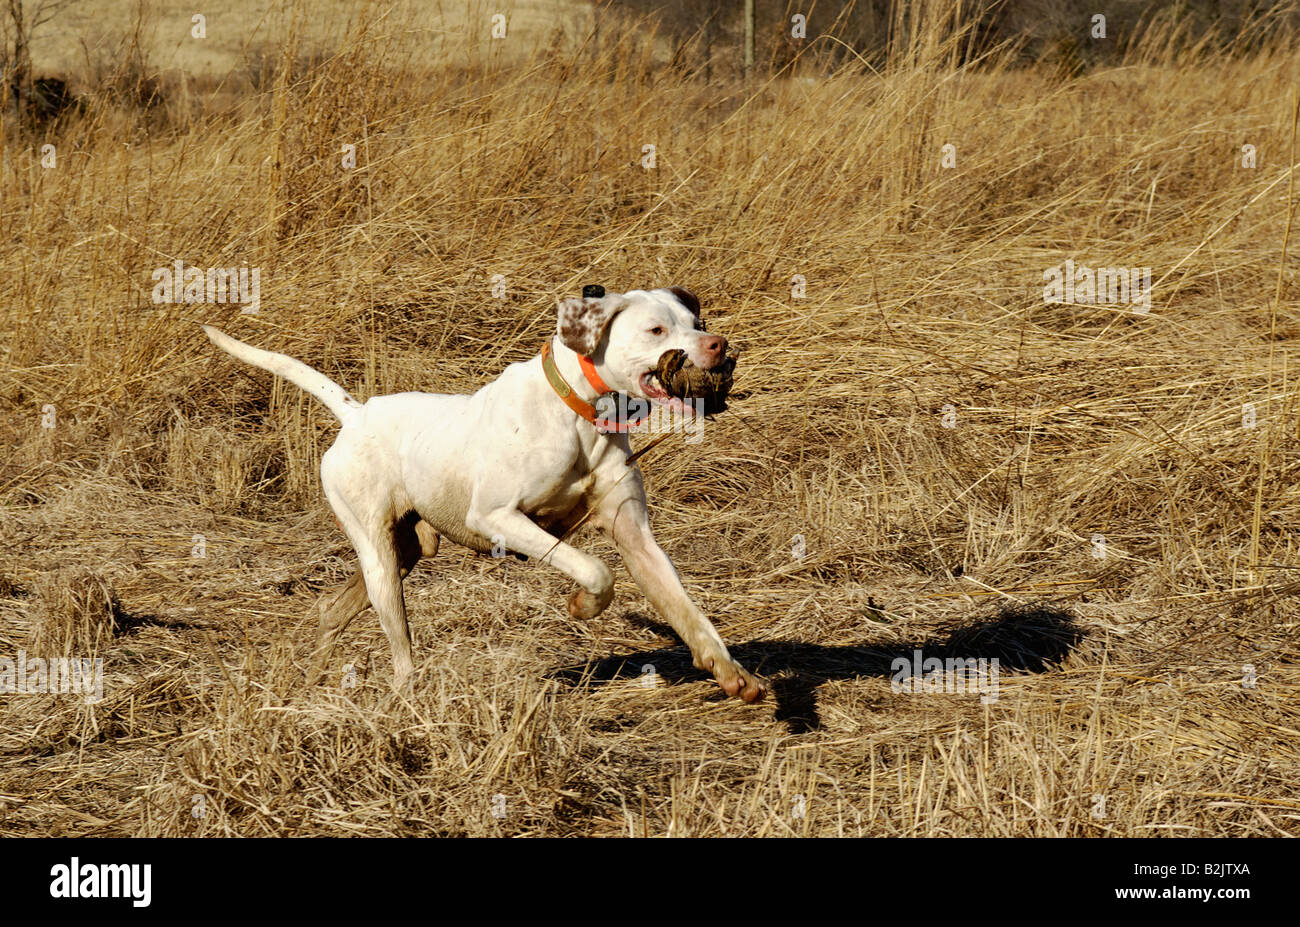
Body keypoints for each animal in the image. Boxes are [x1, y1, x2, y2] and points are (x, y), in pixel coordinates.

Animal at [205, 283, 759, 702]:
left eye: (696, 319)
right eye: (656, 330)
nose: (717, 344)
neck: (581, 413)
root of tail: (356, 413)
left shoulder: (636, 536)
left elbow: (689, 612)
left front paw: (730, 671)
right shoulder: (497, 519)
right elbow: (595, 570)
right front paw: (583, 605)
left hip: (404, 553)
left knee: (331, 609)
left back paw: (308, 684)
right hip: (380, 560)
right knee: (400, 653)